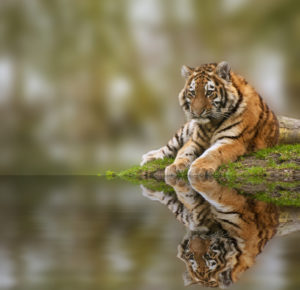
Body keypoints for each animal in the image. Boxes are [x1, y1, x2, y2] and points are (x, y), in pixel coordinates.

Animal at [141, 61, 278, 177]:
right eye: (192, 93)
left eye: (209, 92)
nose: (197, 113)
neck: (211, 125)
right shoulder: (194, 141)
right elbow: (183, 152)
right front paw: (175, 166)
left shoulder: (233, 140)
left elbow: (212, 154)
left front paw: (198, 169)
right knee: (167, 148)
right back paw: (149, 157)